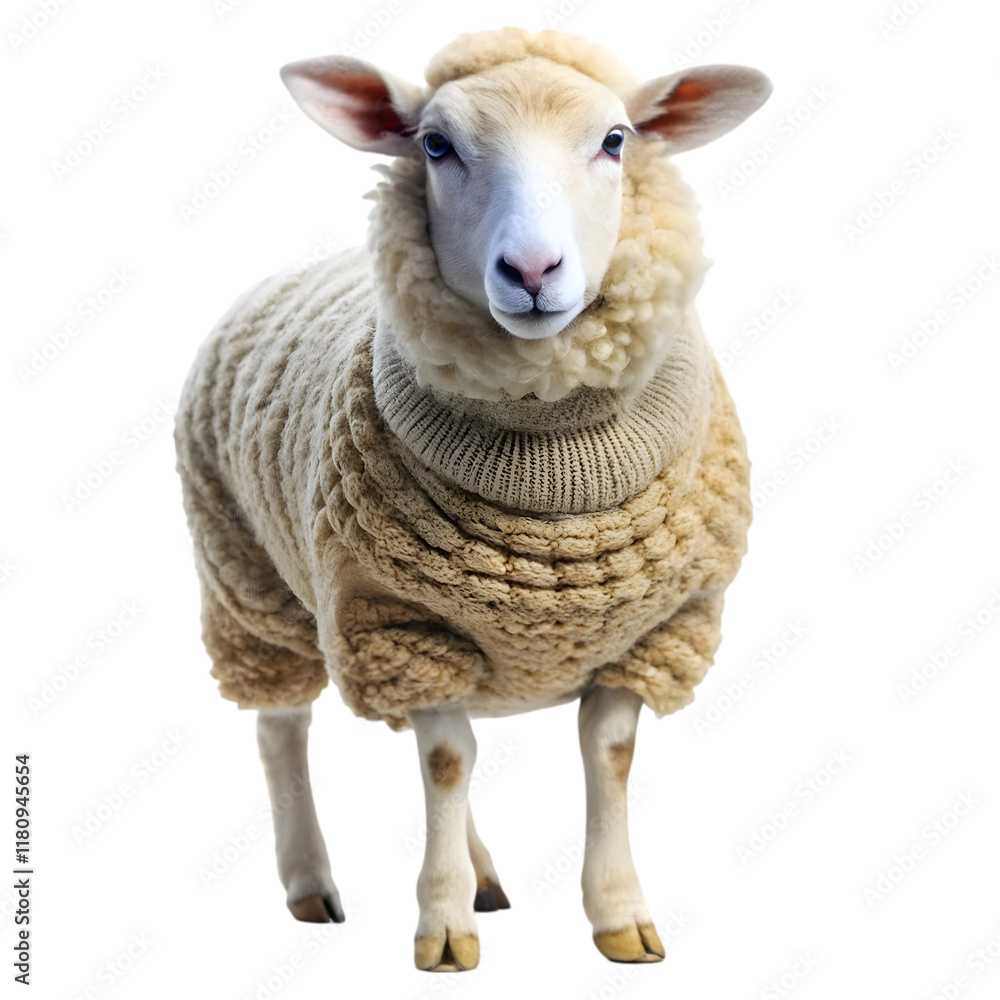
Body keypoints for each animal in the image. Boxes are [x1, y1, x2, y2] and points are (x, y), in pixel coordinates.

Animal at [174, 26, 771, 971]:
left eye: (615, 140)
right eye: (435, 145)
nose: (531, 269)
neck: (551, 459)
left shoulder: (659, 631)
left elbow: (607, 756)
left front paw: (620, 918)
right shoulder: (400, 625)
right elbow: (448, 763)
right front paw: (443, 927)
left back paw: (484, 872)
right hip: (247, 582)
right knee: (283, 729)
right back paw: (312, 884)